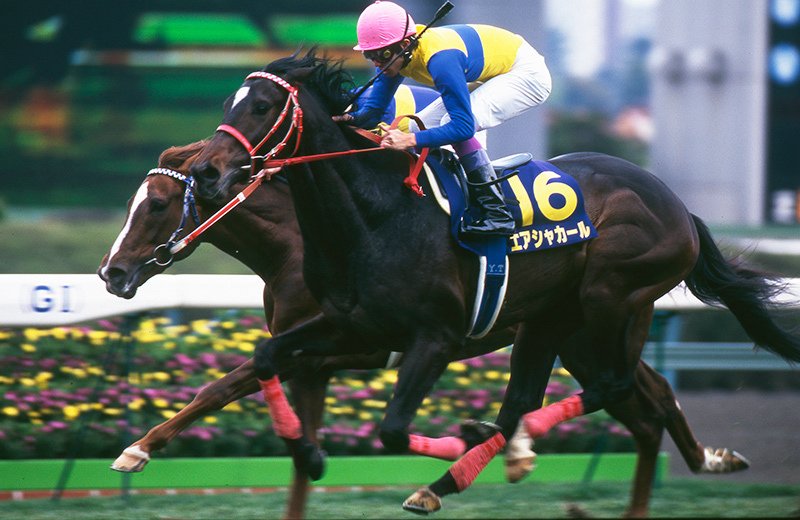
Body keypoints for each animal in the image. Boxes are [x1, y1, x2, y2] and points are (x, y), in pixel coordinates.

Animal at [100, 139, 750, 519]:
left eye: (156, 204)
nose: (112, 273)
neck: (302, 242)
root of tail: (679, 208)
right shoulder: (313, 355)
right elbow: (251, 402)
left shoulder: (348, 349)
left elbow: (230, 386)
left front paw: (138, 448)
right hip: (579, 335)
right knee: (648, 405)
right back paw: (707, 461)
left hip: (600, 312)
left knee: (617, 398)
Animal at [189, 50, 800, 516]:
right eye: (226, 105)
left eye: (262, 106)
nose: (205, 171)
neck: (375, 216)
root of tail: (679, 207)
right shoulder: (351, 328)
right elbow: (268, 355)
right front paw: (308, 452)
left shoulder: (433, 338)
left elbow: (392, 430)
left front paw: (462, 439)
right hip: (552, 319)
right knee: (532, 400)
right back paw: (488, 456)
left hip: (611, 296)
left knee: (611, 386)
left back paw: (501, 451)